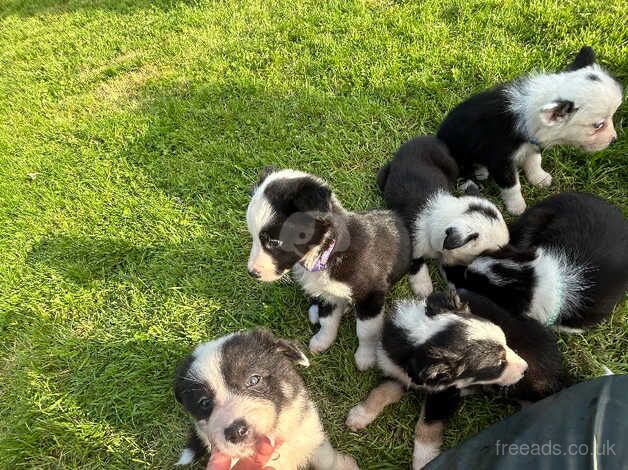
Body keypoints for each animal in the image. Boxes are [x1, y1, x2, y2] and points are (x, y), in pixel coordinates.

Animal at [245, 167, 412, 370]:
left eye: (274, 242)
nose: (251, 273)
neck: (328, 252)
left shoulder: (371, 295)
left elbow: (366, 330)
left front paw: (366, 357)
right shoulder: (326, 294)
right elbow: (327, 321)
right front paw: (322, 341)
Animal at [346, 292, 568, 468]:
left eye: (506, 344)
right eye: (497, 364)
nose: (524, 368)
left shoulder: (444, 395)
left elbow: (426, 427)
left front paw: (424, 461)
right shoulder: (397, 373)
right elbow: (380, 392)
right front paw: (359, 416)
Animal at [376, 137, 508, 298]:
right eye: (485, 253)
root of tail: (423, 139)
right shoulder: (409, 237)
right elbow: (415, 262)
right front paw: (423, 287)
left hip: (450, 166)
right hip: (383, 177)